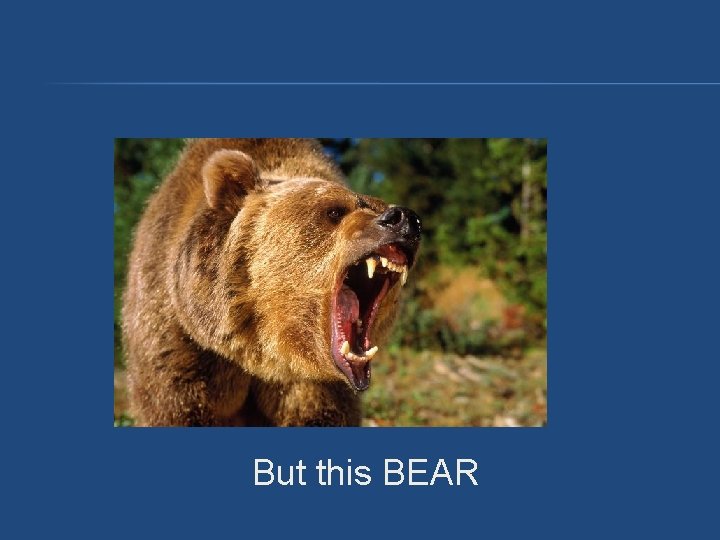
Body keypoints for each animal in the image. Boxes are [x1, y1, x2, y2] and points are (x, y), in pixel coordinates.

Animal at [122, 139, 421, 426]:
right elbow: (177, 405)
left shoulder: (312, 383)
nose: (403, 219)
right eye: (335, 211)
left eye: (376, 204)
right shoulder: (179, 336)